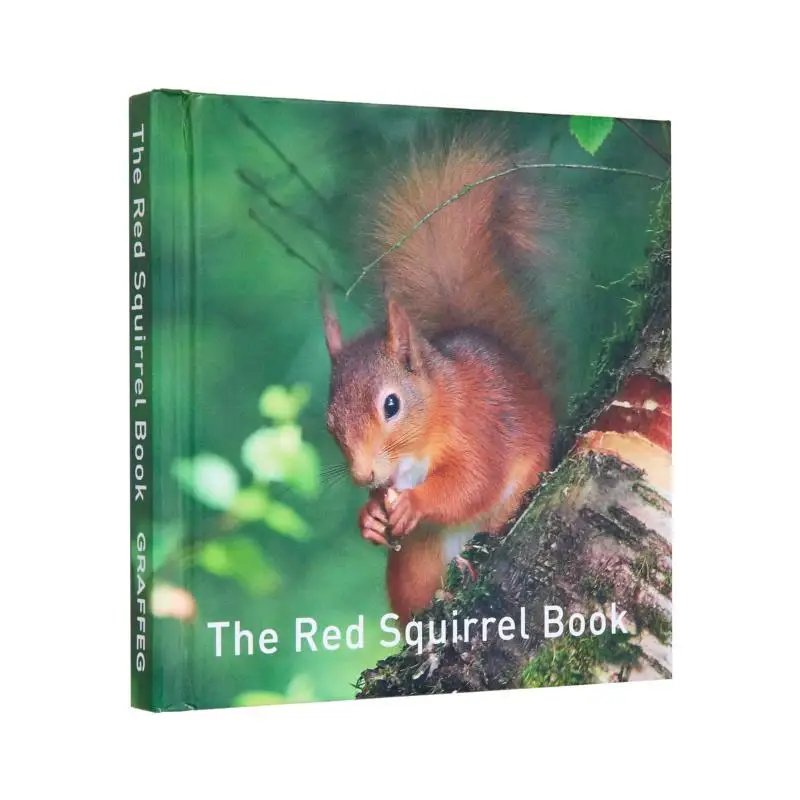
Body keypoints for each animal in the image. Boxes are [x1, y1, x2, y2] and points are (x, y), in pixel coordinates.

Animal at [322, 134, 555, 625]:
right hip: (415, 563)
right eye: (329, 423)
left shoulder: (481, 426)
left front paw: (414, 503)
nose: (363, 475)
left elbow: (474, 481)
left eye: (391, 405)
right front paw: (369, 517)